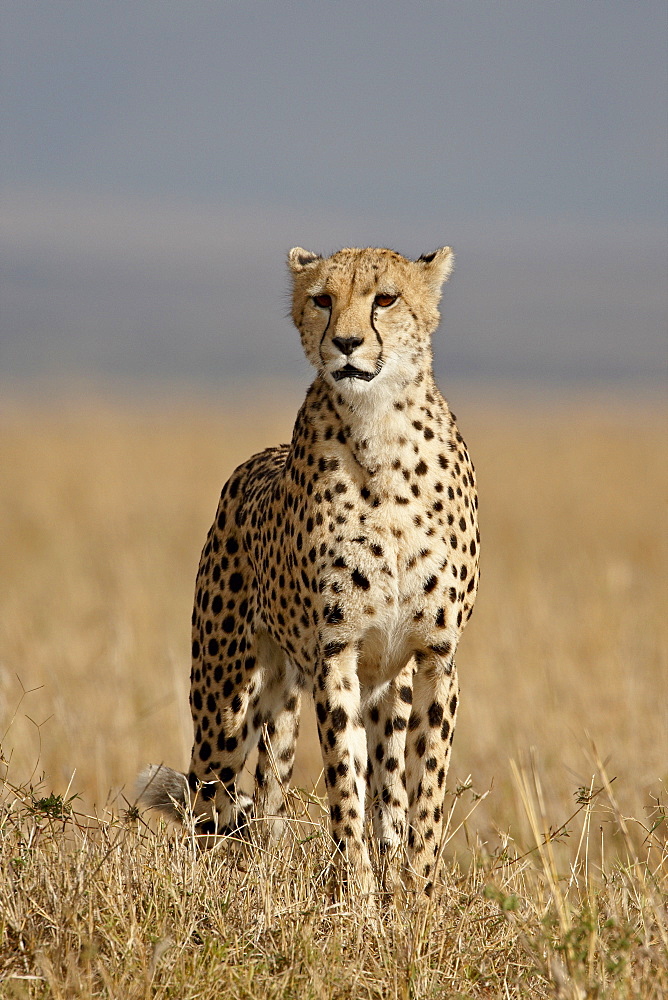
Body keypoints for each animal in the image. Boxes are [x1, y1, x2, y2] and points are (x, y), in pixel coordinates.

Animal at [138, 244, 478, 900]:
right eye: (322, 298)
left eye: (386, 298)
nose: (345, 343)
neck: (381, 433)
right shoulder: (334, 655)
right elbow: (345, 787)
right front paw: (361, 902)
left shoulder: (434, 655)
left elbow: (423, 790)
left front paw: (419, 899)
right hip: (225, 700)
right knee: (209, 802)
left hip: (371, 690)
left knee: (360, 790)